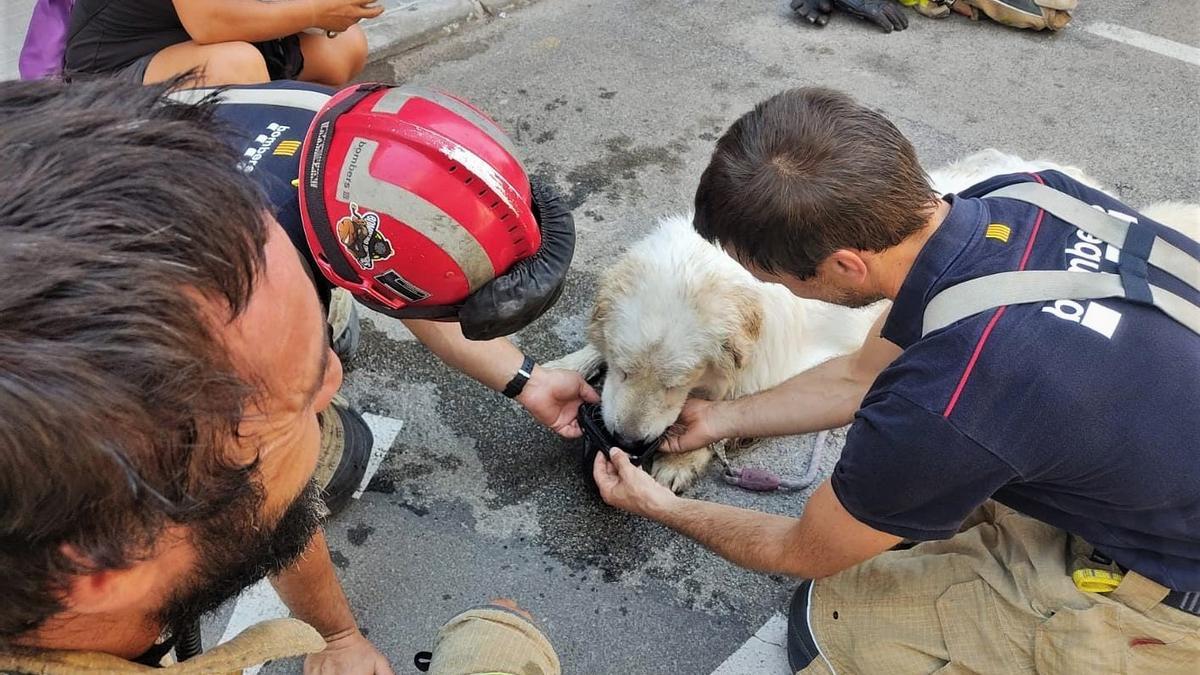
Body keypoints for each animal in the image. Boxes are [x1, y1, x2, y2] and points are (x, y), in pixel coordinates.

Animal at [554, 151, 1200, 487]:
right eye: (626, 370)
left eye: (676, 383)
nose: (625, 440)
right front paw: (565, 368)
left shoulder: (805, 363)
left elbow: (743, 401)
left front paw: (682, 455)